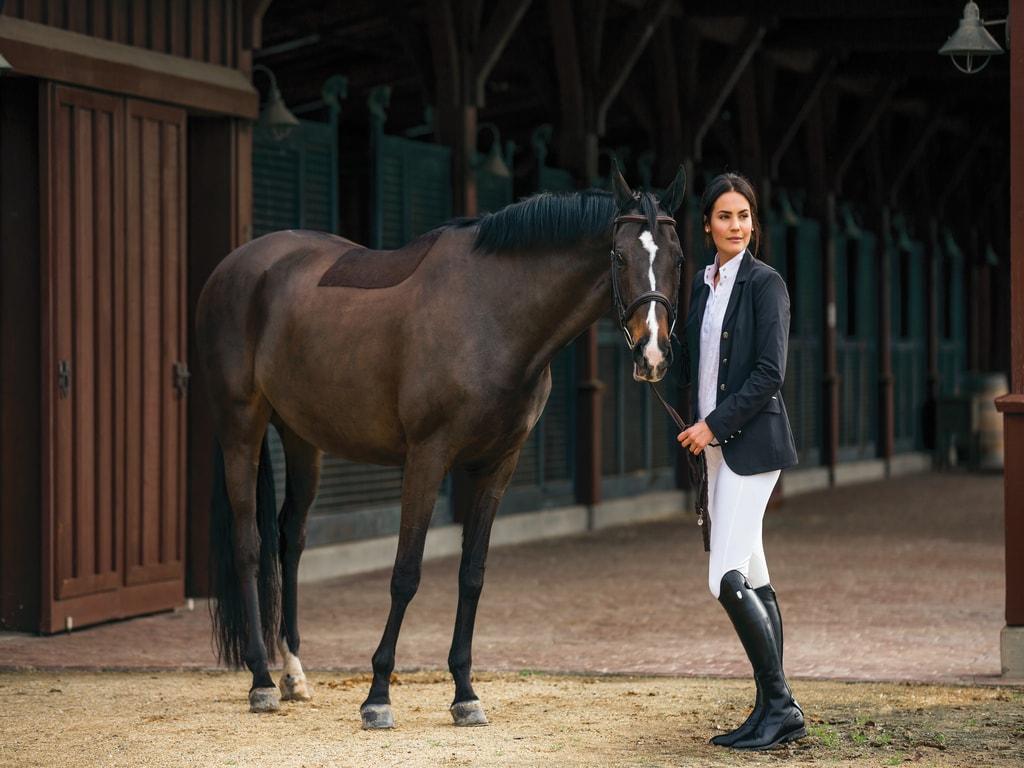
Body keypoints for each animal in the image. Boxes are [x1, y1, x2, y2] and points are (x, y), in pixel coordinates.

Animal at [196, 166, 687, 727]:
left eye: (678, 259)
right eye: (620, 257)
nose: (652, 354)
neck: (492, 312)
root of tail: (236, 266)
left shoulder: (498, 465)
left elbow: (471, 576)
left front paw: (465, 694)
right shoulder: (428, 458)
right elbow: (405, 573)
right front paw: (378, 696)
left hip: (301, 437)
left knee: (290, 539)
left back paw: (294, 673)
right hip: (241, 426)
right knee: (249, 546)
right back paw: (260, 680)